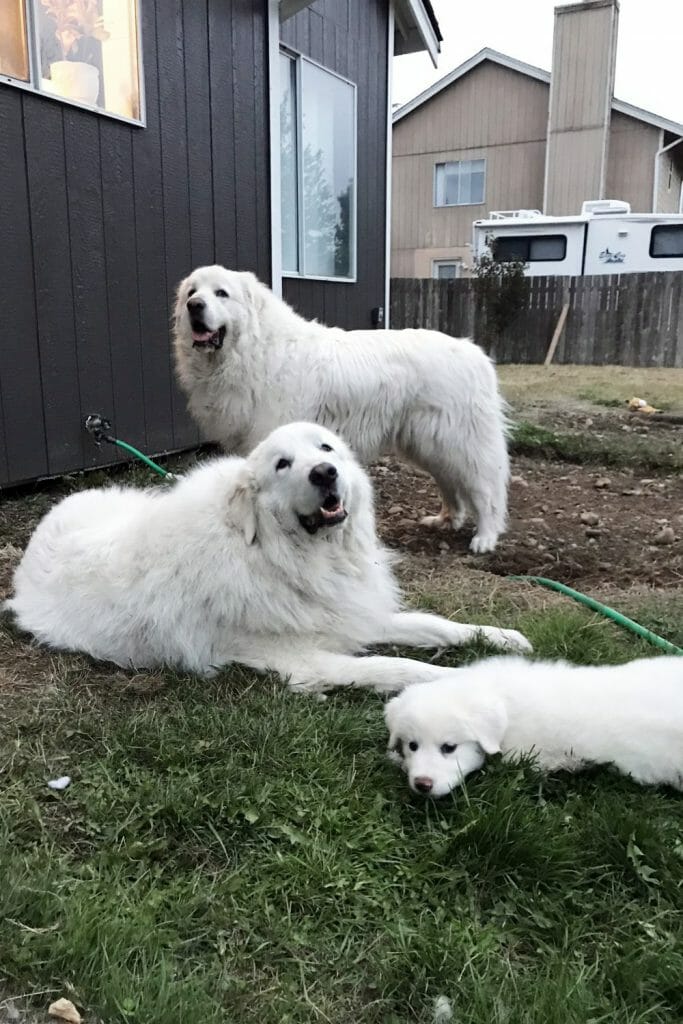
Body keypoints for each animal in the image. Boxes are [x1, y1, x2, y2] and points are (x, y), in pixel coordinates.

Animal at [5, 419, 532, 692]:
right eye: (283, 465)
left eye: (325, 448)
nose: (324, 472)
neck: (280, 555)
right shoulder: (303, 660)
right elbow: (400, 667)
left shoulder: (348, 613)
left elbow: (436, 625)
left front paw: (502, 638)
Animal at [174, 264, 509, 552]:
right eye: (192, 292)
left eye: (221, 293)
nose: (194, 306)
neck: (254, 348)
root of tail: (473, 351)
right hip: (431, 444)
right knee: (450, 482)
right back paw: (447, 520)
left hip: (460, 444)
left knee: (486, 489)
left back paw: (485, 537)